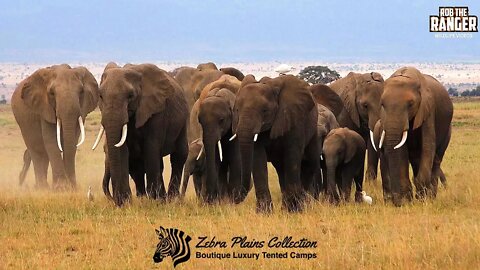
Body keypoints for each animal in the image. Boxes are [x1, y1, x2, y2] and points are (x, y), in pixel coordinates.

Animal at [95, 62, 189, 207]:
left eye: (130, 95)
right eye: (100, 96)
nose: (116, 201)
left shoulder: (156, 111)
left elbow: (151, 148)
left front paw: (155, 201)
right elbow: (123, 150)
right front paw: (125, 203)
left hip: (183, 120)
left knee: (179, 155)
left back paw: (171, 199)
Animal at [198, 74, 244, 202]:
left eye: (221, 120)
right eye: (199, 121)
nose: (208, 199)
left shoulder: (236, 123)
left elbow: (235, 158)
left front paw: (233, 201)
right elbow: (216, 158)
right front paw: (221, 201)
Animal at [232, 74, 318, 213]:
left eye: (264, 110)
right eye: (237, 110)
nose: (234, 198)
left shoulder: (294, 121)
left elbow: (292, 157)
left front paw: (294, 212)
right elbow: (258, 159)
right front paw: (264, 213)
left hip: (314, 129)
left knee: (310, 163)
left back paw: (300, 205)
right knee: (281, 169)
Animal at [376, 67, 454, 207]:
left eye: (411, 104)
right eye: (382, 104)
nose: (397, 202)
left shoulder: (428, 109)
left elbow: (428, 146)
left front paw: (422, 200)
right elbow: (400, 150)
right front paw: (406, 202)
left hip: (447, 131)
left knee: (436, 160)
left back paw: (431, 197)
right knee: (416, 159)